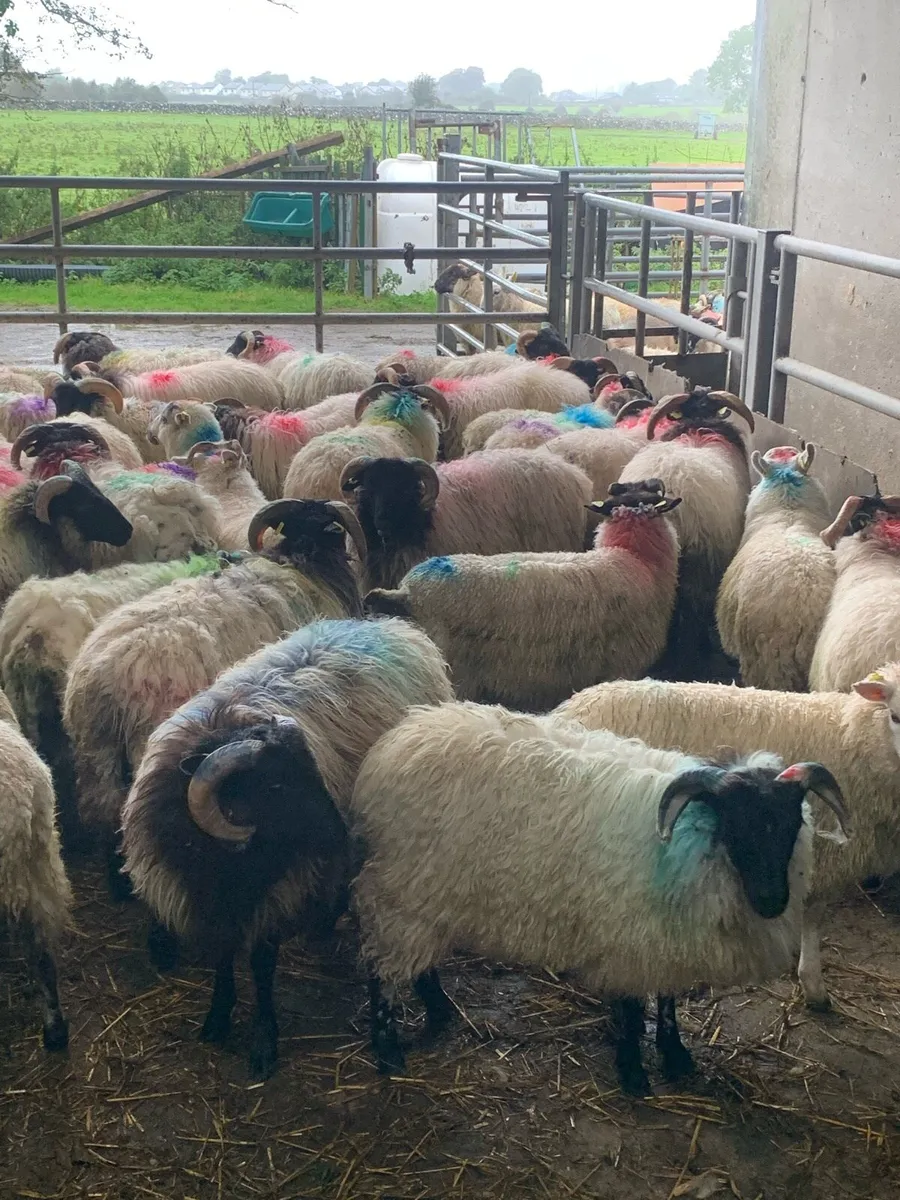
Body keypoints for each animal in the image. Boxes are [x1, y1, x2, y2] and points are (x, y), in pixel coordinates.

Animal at [64, 498, 367, 898]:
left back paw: (117, 886)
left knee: (103, 810)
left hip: (95, 755)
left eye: (327, 518)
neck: (304, 561)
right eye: (308, 520)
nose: (334, 531)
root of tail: (102, 680)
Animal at [119, 616, 451, 1078]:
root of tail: (383, 624)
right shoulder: (208, 898)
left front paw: (263, 1042)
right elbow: (222, 954)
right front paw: (217, 1018)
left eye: (313, 768)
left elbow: (261, 965)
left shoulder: (277, 892)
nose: (343, 831)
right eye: (276, 785)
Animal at [353, 701, 840, 1094]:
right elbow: (632, 1005)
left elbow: (667, 1001)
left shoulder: (665, 938)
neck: (685, 838)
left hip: (428, 895)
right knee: (383, 970)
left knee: (419, 963)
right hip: (399, 889)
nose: (772, 902)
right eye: (737, 825)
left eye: (791, 823)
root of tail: (402, 735)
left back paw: (441, 1012)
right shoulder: (627, 935)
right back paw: (388, 1051)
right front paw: (633, 1073)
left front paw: (676, 1057)